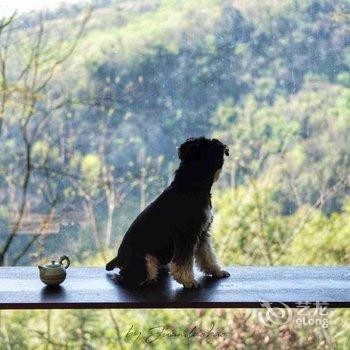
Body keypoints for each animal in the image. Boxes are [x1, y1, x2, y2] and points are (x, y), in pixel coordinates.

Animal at [107, 137, 232, 288]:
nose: (225, 148)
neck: (192, 184)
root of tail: (118, 260)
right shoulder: (187, 235)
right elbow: (184, 261)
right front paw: (188, 280)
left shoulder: (202, 234)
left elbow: (207, 255)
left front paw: (216, 271)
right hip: (146, 259)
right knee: (127, 278)